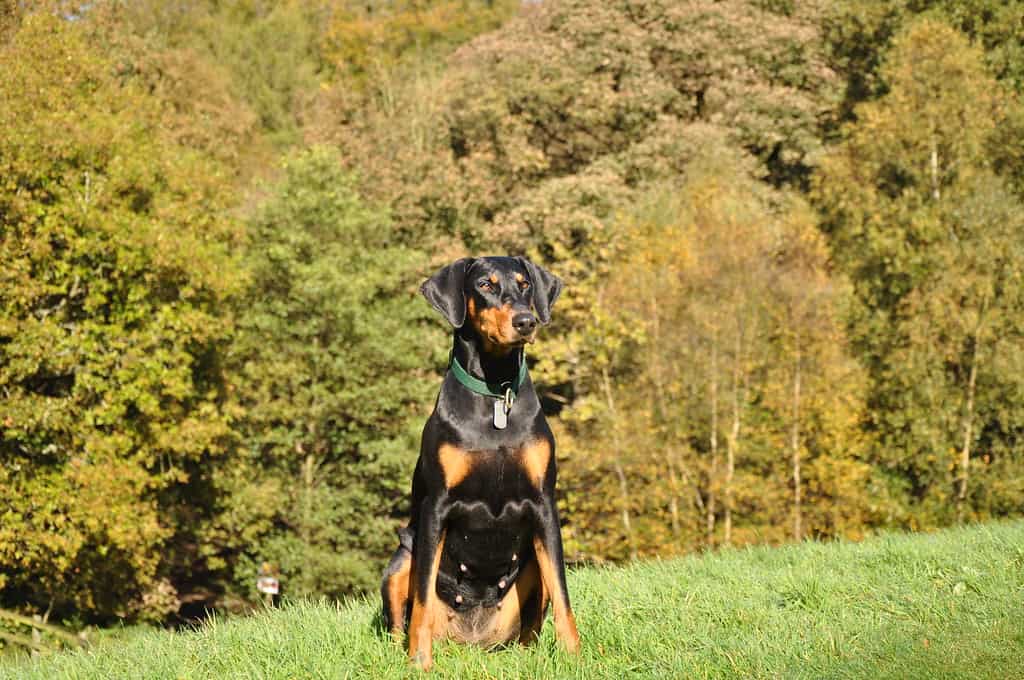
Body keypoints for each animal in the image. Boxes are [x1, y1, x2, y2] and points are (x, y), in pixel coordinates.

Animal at [380, 255, 581, 667]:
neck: (495, 395)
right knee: (399, 617)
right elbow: (421, 598)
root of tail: (471, 642)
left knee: (531, 625)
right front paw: (420, 662)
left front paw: (574, 658)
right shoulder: (437, 506)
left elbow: (563, 592)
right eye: (485, 285)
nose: (526, 321)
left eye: (524, 284)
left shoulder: (544, 504)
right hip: (400, 559)